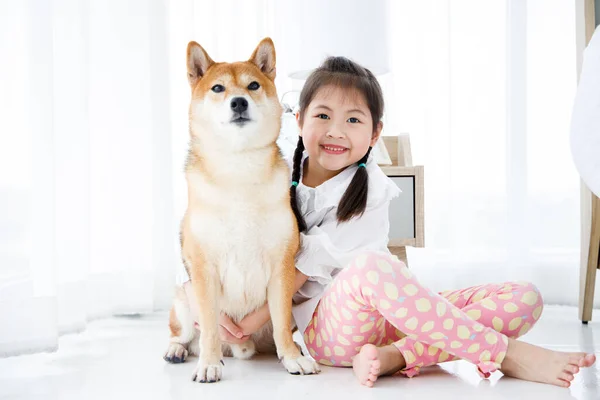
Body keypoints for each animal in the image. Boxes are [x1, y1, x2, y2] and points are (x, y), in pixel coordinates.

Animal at [159, 38, 318, 384]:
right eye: (218, 88)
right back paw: (177, 350)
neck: (239, 166)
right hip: (182, 302)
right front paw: (208, 364)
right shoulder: (203, 268)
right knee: (181, 333)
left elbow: (282, 323)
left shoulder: (282, 266)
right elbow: (209, 328)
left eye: (253, 85)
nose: (239, 102)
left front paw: (292, 359)